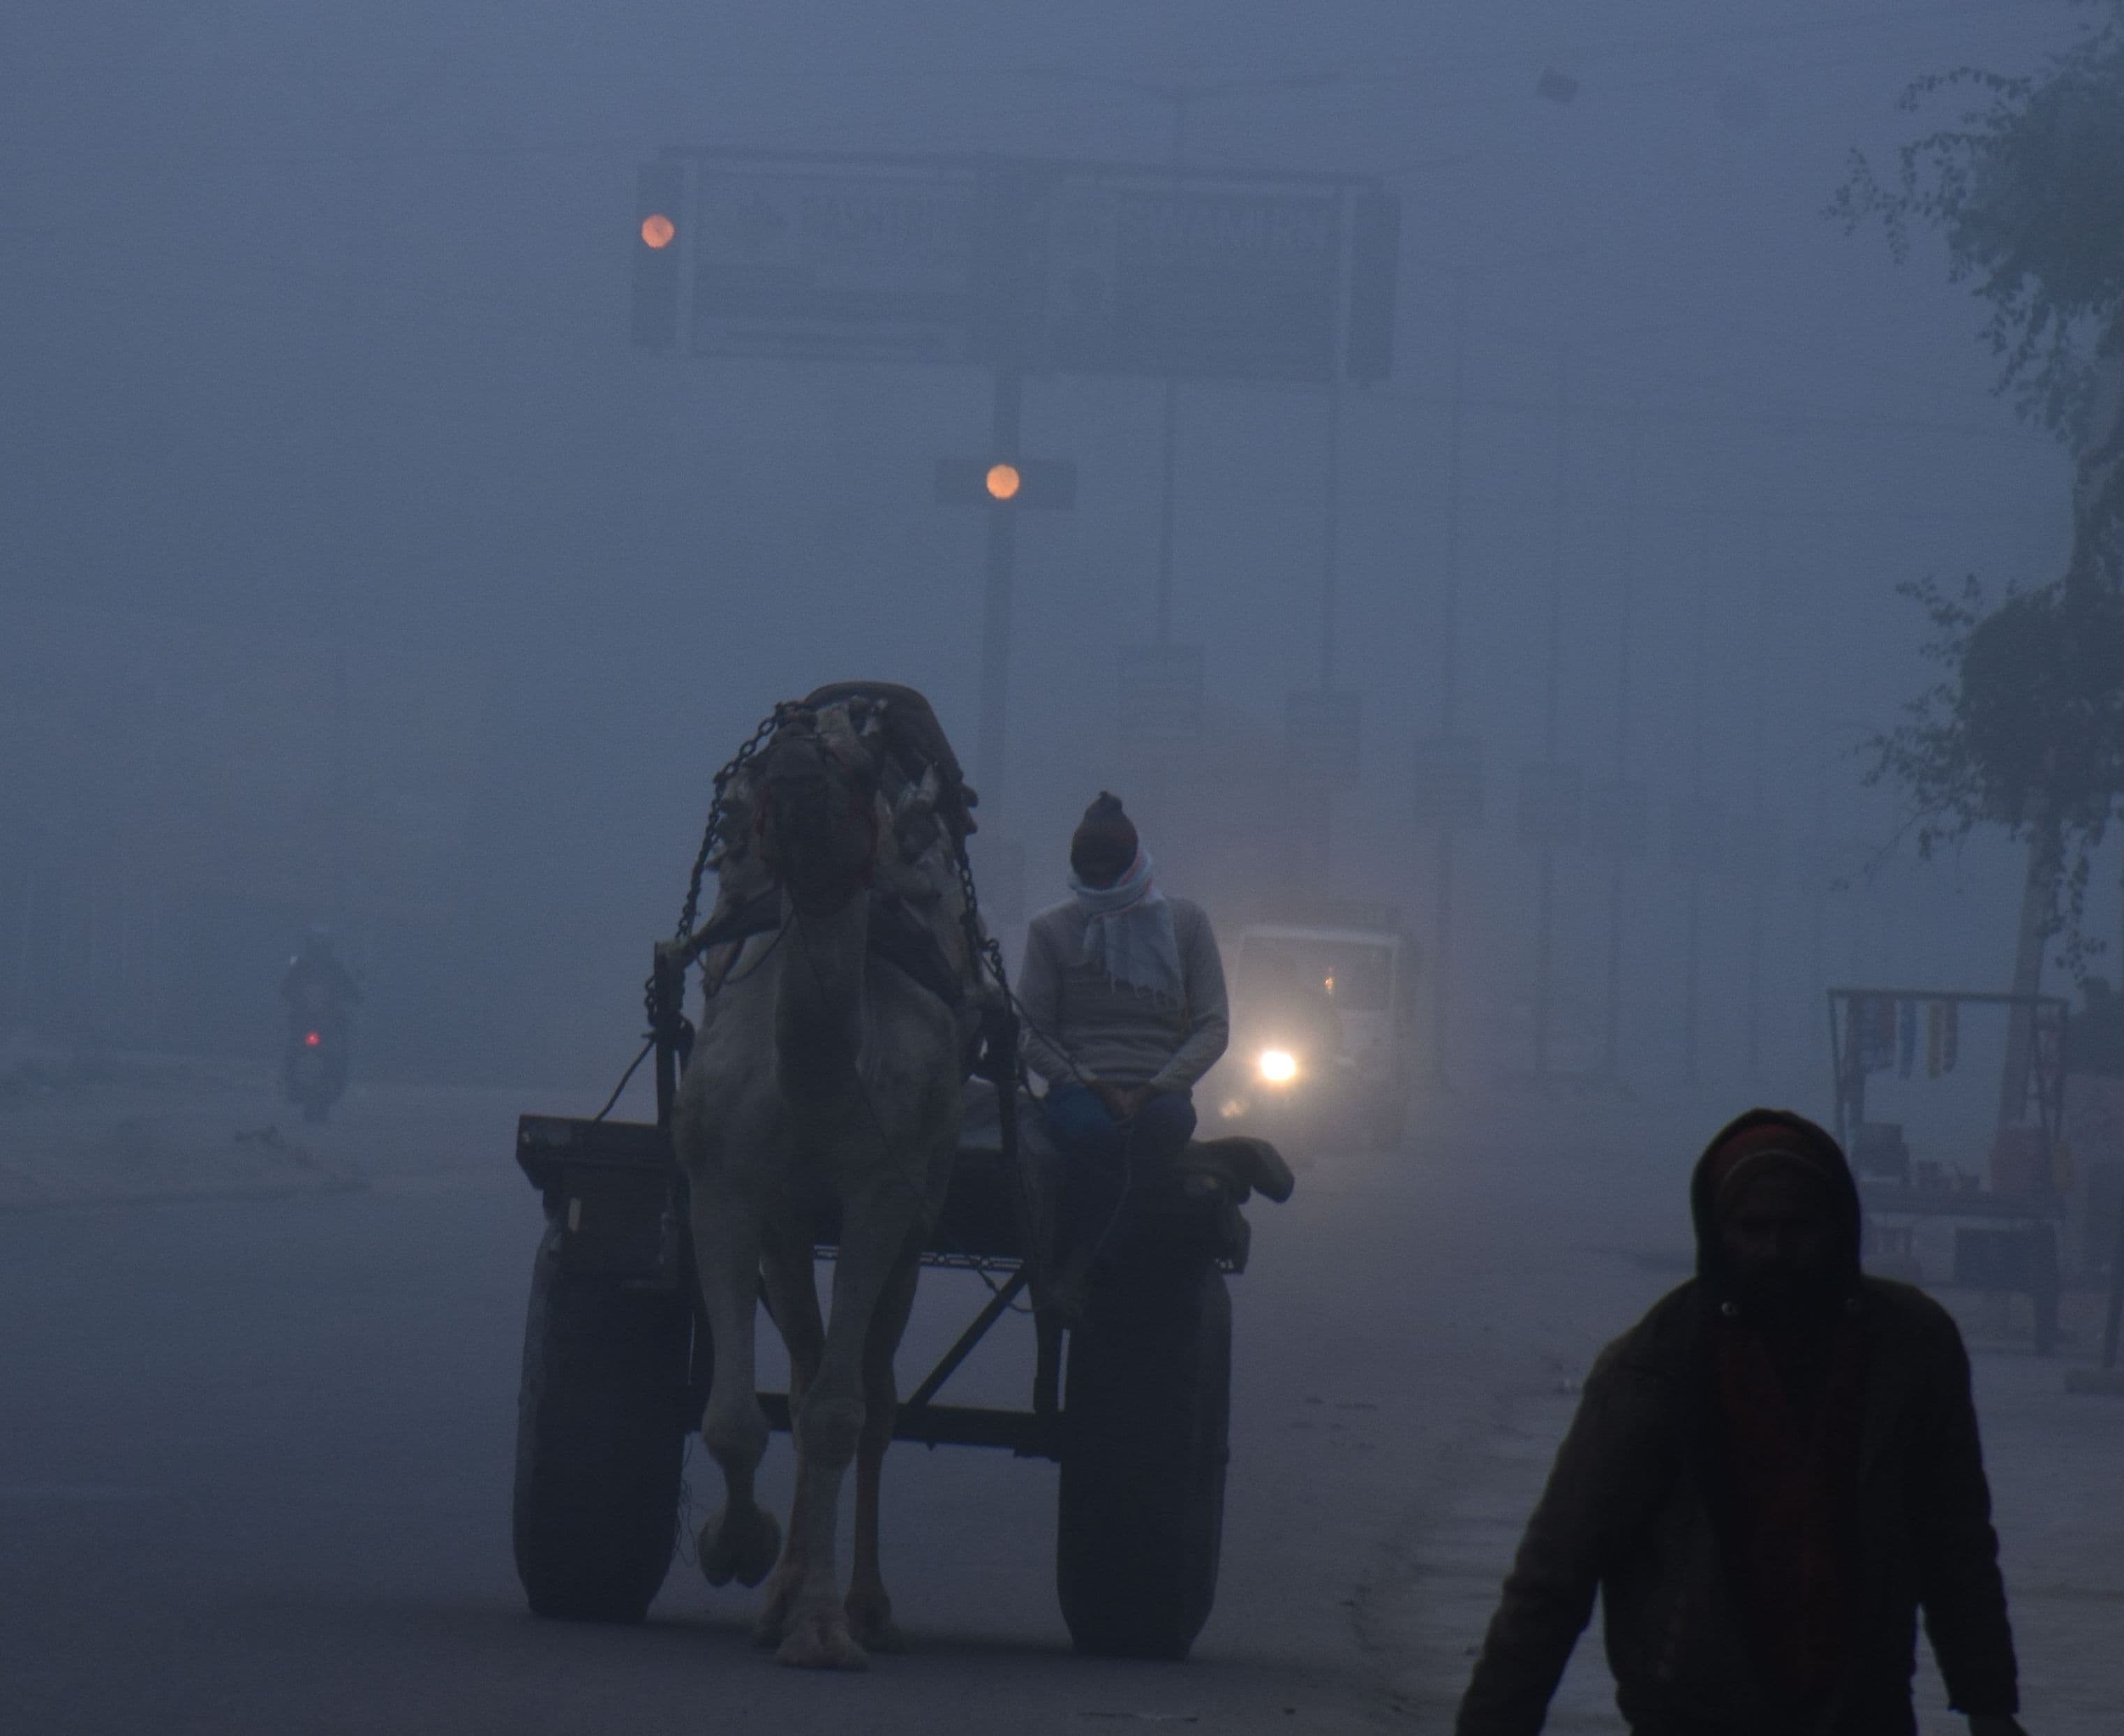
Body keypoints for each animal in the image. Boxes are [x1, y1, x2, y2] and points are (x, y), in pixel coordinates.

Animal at [671, 688, 985, 1665]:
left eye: (851, 770)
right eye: (761, 778)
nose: (796, 764)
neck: (816, 1077)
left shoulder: (884, 1197)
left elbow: (842, 1414)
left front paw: (821, 1629)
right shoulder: (727, 1186)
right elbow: (739, 1416)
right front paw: (735, 1546)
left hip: (920, 1212)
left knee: (871, 1399)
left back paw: (863, 1607)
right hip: (784, 1231)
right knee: (807, 1372)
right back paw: (778, 1595)